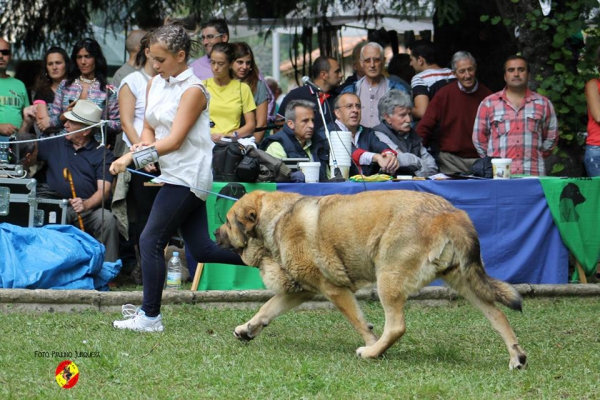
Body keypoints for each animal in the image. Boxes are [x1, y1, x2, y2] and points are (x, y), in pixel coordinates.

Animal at [216, 190, 524, 368]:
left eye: (228, 223)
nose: (216, 233)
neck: (278, 217)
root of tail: (450, 213)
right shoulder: (300, 291)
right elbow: (266, 309)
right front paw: (247, 329)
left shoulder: (333, 289)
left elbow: (359, 322)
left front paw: (372, 344)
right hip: (464, 281)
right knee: (498, 315)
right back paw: (517, 357)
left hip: (387, 277)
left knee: (396, 327)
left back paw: (372, 353)